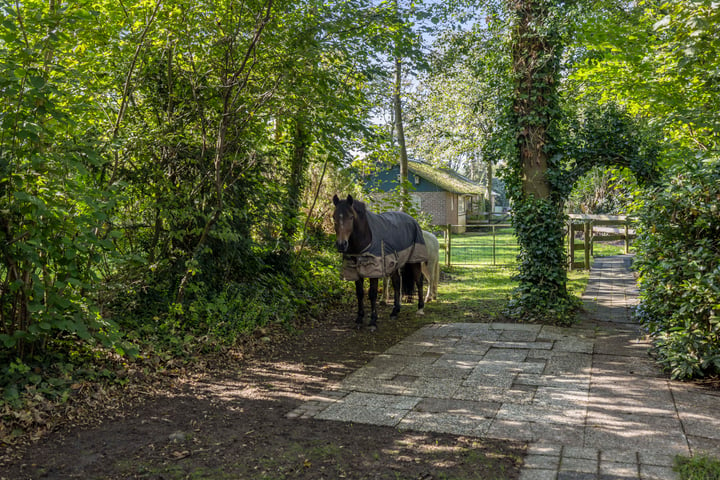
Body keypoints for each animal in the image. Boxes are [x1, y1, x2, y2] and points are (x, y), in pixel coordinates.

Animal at [334, 194, 428, 330]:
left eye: (351, 217)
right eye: (334, 217)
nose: (341, 245)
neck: (364, 238)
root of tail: (412, 220)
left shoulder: (374, 270)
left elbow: (372, 294)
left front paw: (373, 321)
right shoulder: (355, 270)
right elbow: (359, 293)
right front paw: (359, 318)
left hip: (414, 260)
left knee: (419, 281)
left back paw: (420, 308)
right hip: (394, 263)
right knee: (397, 283)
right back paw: (395, 311)